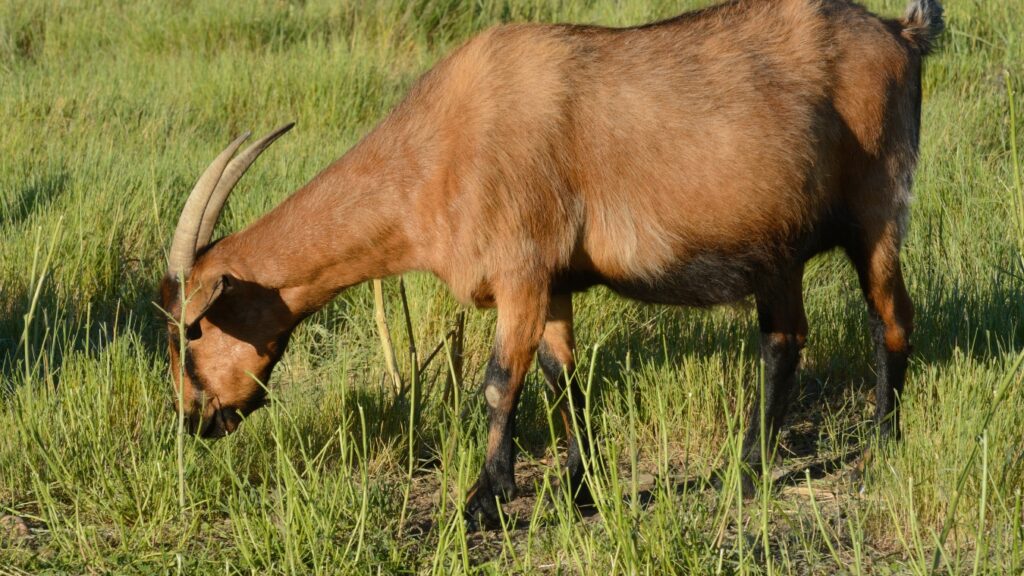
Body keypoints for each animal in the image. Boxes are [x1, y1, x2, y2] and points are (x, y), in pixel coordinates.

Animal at [161, 0, 942, 528]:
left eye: (191, 330)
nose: (194, 418)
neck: (438, 150)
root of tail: (901, 34)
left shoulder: (522, 273)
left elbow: (498, 383)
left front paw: (482, 501)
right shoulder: (556, 284)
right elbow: (561, 378)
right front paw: (578, 490)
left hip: (877, 213)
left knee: (892, 320)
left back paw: (879, 449)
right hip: (778, 249)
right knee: (784, 340)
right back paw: (746, 470)